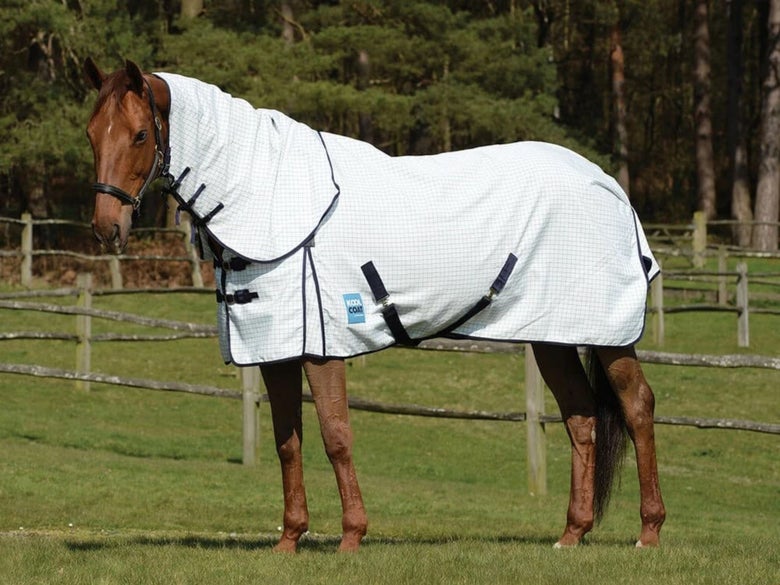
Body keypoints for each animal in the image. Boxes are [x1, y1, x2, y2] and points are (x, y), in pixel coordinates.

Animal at [83, 58, 665, 552]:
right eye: (91, 134)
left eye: (140, 134)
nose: (107, 227)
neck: (269, 197)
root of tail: (609, 185)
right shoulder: (274, 347)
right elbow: (287, 441)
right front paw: (289, 540)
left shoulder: (322, 346)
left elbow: (336, 435)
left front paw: (350, 537)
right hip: (552, 335)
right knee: (582, 417)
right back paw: (572, 534)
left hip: (606, 334)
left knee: (637, 407)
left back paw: (649, 532)